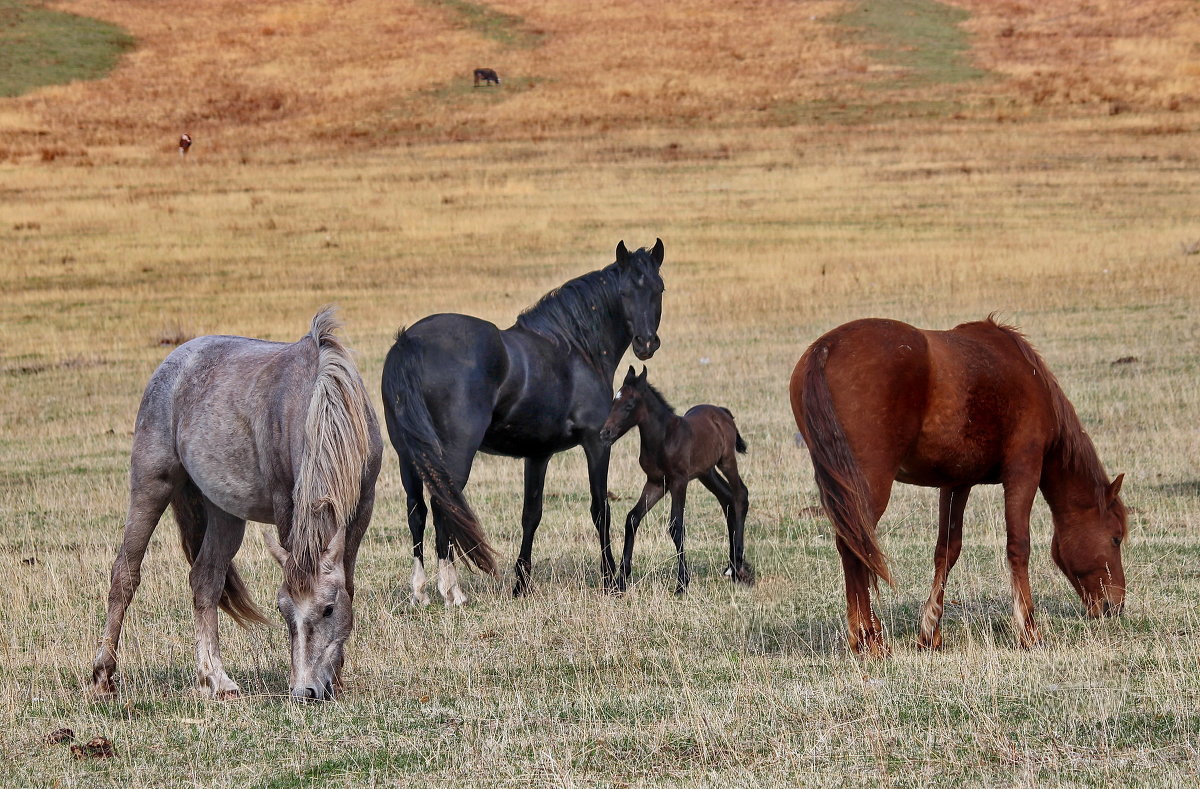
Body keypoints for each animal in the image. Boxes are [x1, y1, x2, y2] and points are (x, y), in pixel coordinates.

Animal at [91, 309, 381, 700]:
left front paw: (336, 678)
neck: (321, 401)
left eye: (328, 609)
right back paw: (104, 673)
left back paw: (215, 679)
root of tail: (174, 361)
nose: (304, 692)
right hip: (150, 485)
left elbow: (348, 583)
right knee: (125, 573)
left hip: (224, 512)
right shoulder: (286, 506)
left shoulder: (363, 507)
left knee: (205, 579)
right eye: (283, 610)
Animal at [384, 236, 667, 599]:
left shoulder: (538, 455)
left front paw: (521, 584)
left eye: (659, 289)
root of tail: (409, 342)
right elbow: (600, 509)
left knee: (416, 510)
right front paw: (610, 580)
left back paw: (420, 591)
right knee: (443, 506)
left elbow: (531, 514)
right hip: (453, 455)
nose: (646, 343)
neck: (575, 350)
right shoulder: (597, 443)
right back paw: (452, 591)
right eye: (625, 292)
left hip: (407, 455)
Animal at [597, 364, 748, 592]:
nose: (605, 433)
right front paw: (620, 581)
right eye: (614, 401)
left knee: (740, 495)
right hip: (706, 472)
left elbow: (676, 526)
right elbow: (632, 518)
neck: (664, 438)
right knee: (727, 499)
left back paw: (738, 565)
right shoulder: (656, 482)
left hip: (727, 460)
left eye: (629, 405)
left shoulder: (678, 482)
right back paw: (731, 566)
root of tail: (723, 412)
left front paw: (682, 582)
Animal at [792, 316, 1128, 652]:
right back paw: (869, 641)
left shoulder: (956, 483)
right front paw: (1029, 631)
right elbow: (1018, 546)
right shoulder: (1023, 470)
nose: (1116, 605)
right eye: (1116, 539)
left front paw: (930, 631)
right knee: (855, 549)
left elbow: (947, 550)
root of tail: (827, 347)